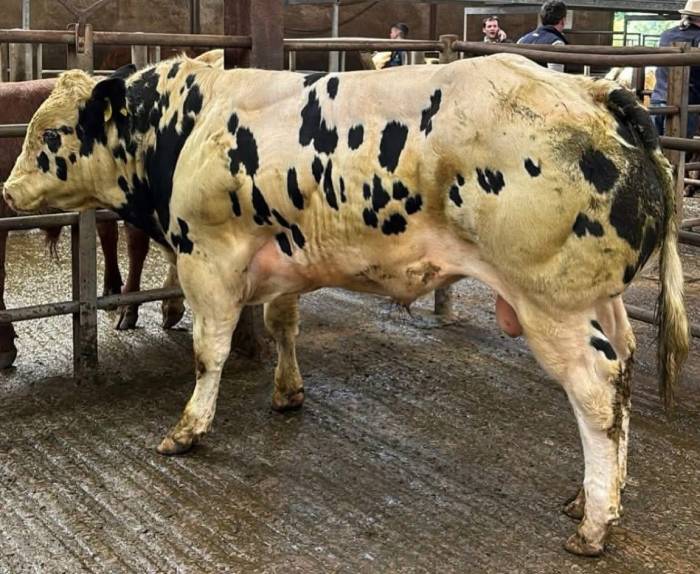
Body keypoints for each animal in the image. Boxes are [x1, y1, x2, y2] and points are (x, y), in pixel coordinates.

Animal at [3, 52, 689, 556]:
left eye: (52, 133)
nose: (8, 191)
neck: (190, 125)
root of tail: (595, 93)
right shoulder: (283, 255)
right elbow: (282, 324)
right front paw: (287, 392)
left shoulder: (209, 260)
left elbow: (209, 352)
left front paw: (188, 428)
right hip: (603, 302)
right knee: (625, 371)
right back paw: (596, 496)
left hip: (553, 306)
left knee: (597, 393)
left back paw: (595, 523)